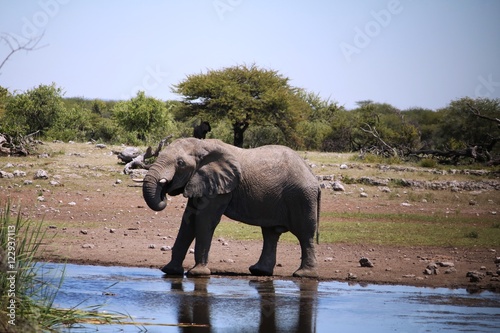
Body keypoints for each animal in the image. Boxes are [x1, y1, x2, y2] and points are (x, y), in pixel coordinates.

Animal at [142, 136, 320, 276]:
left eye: (180, 163)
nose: (164, 190)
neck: (202, 144)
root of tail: (314, 178)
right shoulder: (202, 182)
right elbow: (188, 220)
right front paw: (170, 271)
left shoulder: (219, 187)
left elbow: (205, 220)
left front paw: (198, 273)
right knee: (270, 233)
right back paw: (259, 271)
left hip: (301, 197)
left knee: (305, 234)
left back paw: (304, 275)